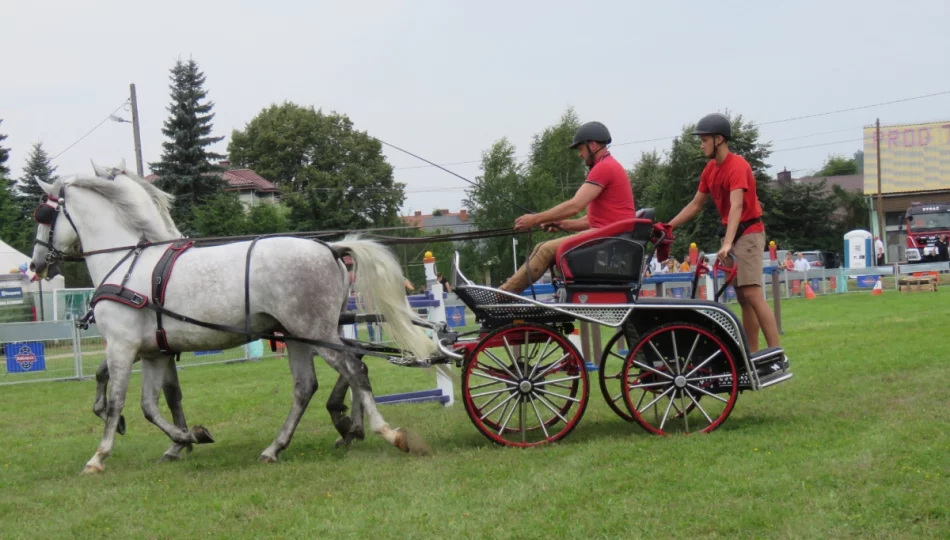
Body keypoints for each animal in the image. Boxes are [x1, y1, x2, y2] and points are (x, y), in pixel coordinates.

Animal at [28, 160, 438, 472]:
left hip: (315, 331)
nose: (35, 264)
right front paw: (188, 437)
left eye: (44, 214)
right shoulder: (153, 352)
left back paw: (386, 432)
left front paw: (99, 456)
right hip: (302, 335)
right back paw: (281, 445)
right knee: (310, 385)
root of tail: (330, 248)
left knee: (355, 370)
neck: (129, 262)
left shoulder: (122, 347)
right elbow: (150, 405)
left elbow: (116, 401)